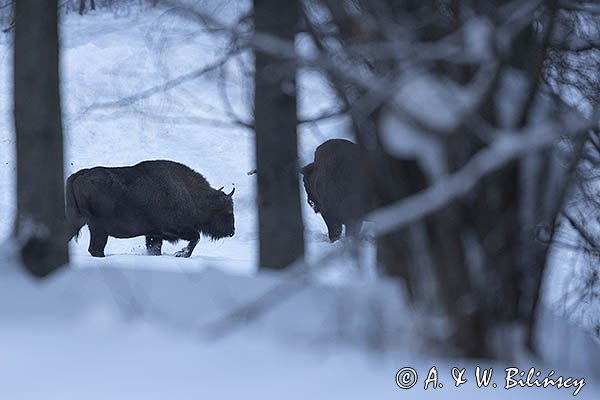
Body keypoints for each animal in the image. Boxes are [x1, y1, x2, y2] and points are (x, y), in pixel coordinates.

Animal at [65, 160, 234, 258]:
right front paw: (181, 254)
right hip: (98, 228)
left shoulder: (154, 235)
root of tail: (79, 175)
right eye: (227, 211)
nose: (232, 231)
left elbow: (155, 248)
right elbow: (196, 237)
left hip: (80, 221)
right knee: (95, 248)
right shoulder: (173, 229)